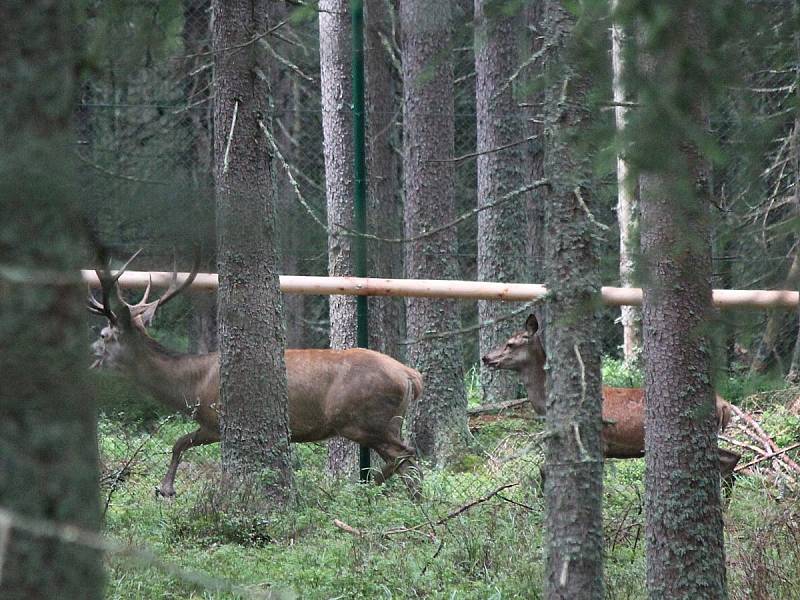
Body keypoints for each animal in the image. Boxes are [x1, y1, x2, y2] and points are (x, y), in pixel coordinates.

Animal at [87, 251, 422, 494]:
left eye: (104, 335)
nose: (91, 355)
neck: (191, 386)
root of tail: (409, 375)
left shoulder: (214, 419)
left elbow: (178, 441)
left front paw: (166, 489)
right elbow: (181, 442)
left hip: (364, 419)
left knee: (406, 454)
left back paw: (371, 488)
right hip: (388, 421)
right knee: (408, 463)